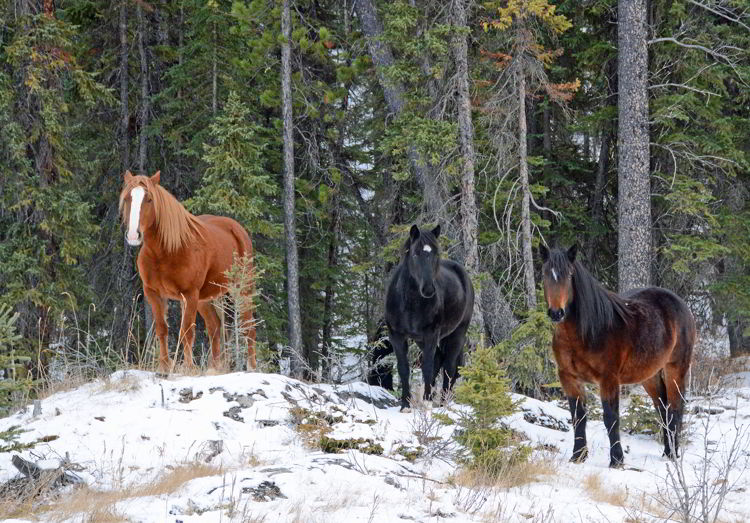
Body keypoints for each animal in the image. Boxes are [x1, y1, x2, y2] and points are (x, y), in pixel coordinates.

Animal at [119, 172, 258, 372]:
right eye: (127, 198)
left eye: (149, 199)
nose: (133, 235)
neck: (166, 251)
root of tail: (237, 229)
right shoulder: (153, 294)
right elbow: (162, 329)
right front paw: (164, 367)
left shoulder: (189, 294)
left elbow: (186, 331)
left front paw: (188, 367)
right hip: (205, 299)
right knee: (215, 328)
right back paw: (214, 368)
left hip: (242, 289)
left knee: (249, 327)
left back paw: (251, 367)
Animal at [388, 225, 476, 414]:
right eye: (415, 254)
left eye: (436, 254)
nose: (428, 289)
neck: (410, 303)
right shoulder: (397, 336)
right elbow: (403, 368)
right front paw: (405, 405)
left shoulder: (431, 335)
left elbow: (427, 368)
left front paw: (427, 403)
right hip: (423, 340)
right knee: (439, 360)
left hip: (457, 334)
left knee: (449, 366)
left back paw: (443, 404)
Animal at [540, 248, 700, 468]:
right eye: (545, 273)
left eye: (570, 275)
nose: (557, 313)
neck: (587, 332)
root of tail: (680, 304)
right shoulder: (568, 378)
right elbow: (578, 417)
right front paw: (577, 456)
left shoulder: (608, 379)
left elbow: (611, 417)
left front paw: (616, 460)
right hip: (649, 376)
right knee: (662, 409)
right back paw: (667, 452)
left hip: (675, 368)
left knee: (676, 408)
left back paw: (673, 454)